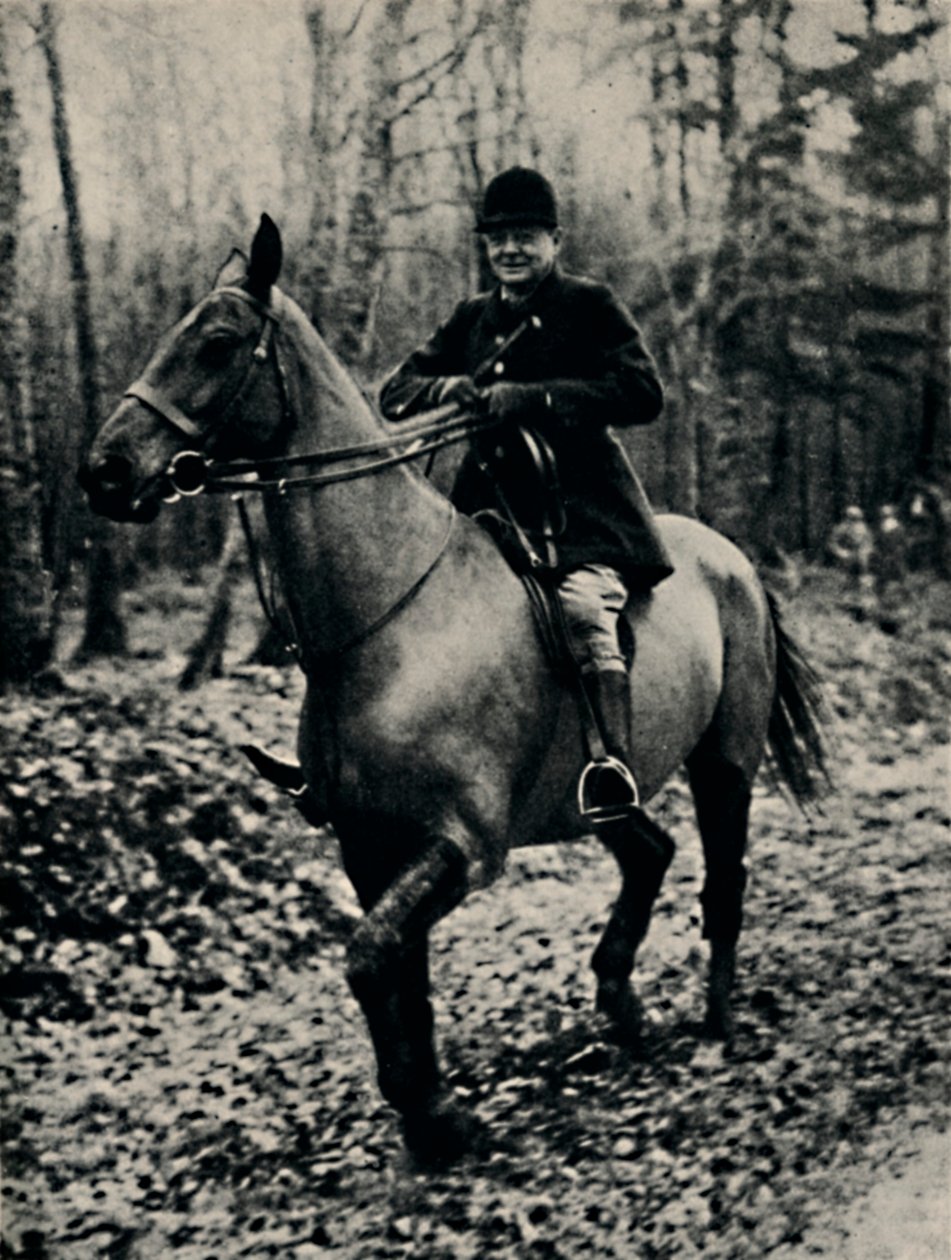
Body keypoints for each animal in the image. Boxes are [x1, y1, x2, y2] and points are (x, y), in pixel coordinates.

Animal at [79, 214, 826, 1159]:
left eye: (214, 343)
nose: (104, 470)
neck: (389, 616)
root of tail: (733, 558)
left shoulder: (461, 843)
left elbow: (369, 959)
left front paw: (431, 1109)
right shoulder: (371, 846)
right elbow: (399, 970)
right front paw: (429, 1108)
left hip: (724, 762)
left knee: (722, 877)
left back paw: (715, 1023)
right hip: (599, 796)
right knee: (649, 853)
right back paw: (621, 1005)